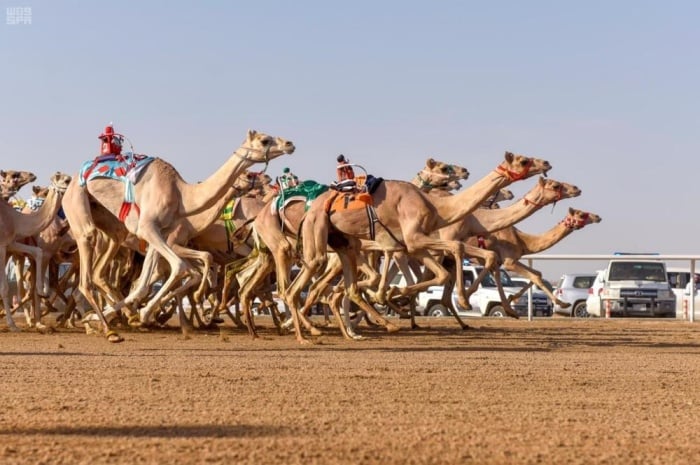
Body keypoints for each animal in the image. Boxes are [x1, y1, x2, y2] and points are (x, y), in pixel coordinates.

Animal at [0, 171, 72, 330]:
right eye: (66, 180)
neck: (15, 219)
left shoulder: (10, 243)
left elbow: (37, 252)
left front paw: (42, 291)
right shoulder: (2, 246)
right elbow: (5, 287)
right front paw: (13, 325)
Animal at [63, 130, 296, 340]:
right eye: (264, 140)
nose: (290, 144)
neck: (181, 195)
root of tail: (73, 179)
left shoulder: (160, 232)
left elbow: (145, 283)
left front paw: (140, 315)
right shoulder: (149, 228)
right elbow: (180, 267)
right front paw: (145, 314)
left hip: (110, 225)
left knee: (102, 268)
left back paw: (99, 319)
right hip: (77, 202)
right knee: (86, 261)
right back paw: (107, 329)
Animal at [284, 151, 552, 340]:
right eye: (523, 160)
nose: (547, 163)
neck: (436, 207)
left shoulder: (412, 246)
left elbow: (438, 274)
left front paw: (396, 296)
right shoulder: (411, 241)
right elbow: (455, 250)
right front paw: (464, 300)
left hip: (343, 244)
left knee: (338, 288)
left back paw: (360, 329)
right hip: (318, 236)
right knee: (301, 286)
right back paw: (305, 332)